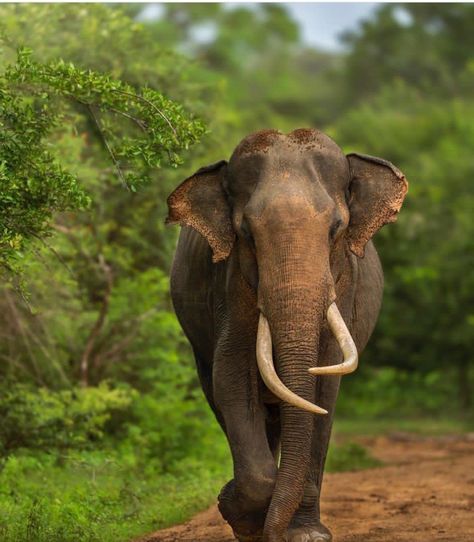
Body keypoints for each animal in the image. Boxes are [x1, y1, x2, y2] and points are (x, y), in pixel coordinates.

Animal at [166, 129, 408, 542]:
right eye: (246, 233)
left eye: (336, 229)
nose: (272, 534)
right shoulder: (230, 284)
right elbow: (232, 377)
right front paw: (241, 517)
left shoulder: (343, 280)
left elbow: (322, 387)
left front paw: (306, 535)